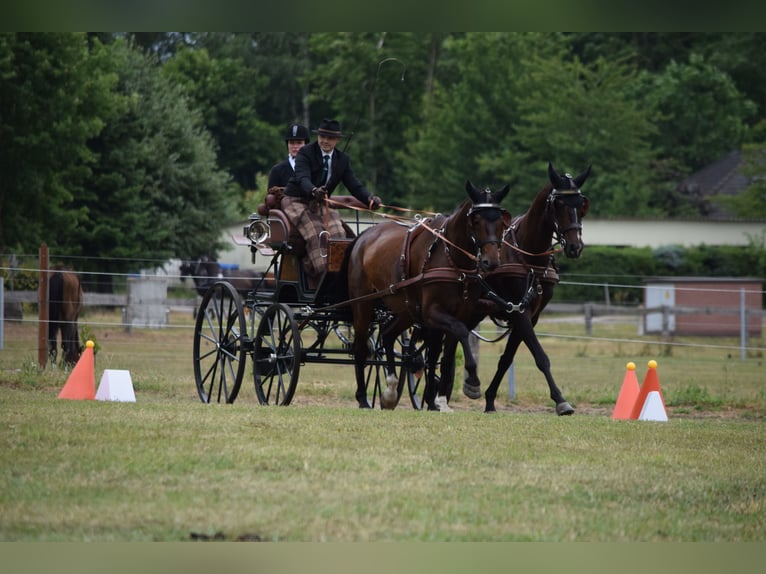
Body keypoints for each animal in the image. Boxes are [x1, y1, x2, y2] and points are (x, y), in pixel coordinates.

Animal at [344, 182, 512, 412]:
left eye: (501, 222)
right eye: (476, 220)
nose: (491, 262)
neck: (451, 259)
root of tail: (364, 235)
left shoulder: (459, 313)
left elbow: (446, 355)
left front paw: (439, 400)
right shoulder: (434, 312)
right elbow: (458, 334)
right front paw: (472, 382)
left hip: (406, 309)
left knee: (387, 334)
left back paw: (390, 392)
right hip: (363, 305)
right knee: (361, 348)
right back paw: (362, 398)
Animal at [436, 162, 592, 414]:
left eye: (581, 204)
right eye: (558, 203)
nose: (575, 247)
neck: (529, 257)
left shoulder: (529, 315)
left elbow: (506, 359)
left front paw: (490, 400)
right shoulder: (520, 313)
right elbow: (540, 356)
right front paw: (560, 400)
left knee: (449, 346)